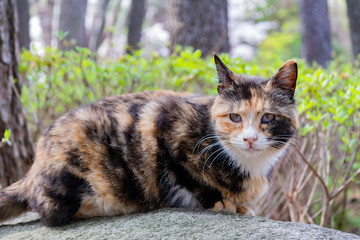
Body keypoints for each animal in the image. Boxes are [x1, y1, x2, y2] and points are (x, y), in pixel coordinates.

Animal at [0, 55, 298, 226]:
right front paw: (223, 203)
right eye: (235, 117)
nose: (250, 138)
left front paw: (241, 206)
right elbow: (190, 177)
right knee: (49, 213)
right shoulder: (162, 126)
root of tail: (33, 170)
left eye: (268, 118)